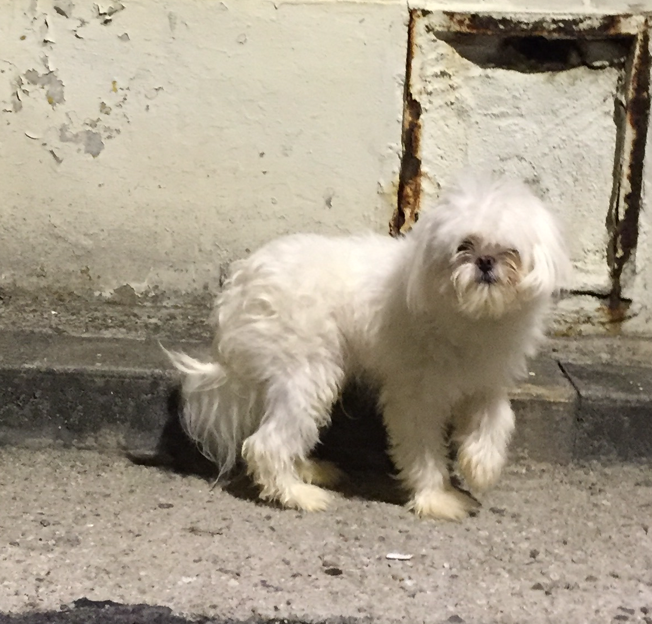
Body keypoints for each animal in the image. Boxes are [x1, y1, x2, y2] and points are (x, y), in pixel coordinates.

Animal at [166, 175, 570, 520]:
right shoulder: (415, 396)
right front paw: (437, 498)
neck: (474, 316)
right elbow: (423, 449)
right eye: (463, 247)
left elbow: (498, 421)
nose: (484, 262)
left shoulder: (485, 382)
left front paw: (481, 466)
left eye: (509, 250)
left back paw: (308, 471)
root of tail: (241, 284)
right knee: (265, 444)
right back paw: (297, 495)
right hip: (309, 373)